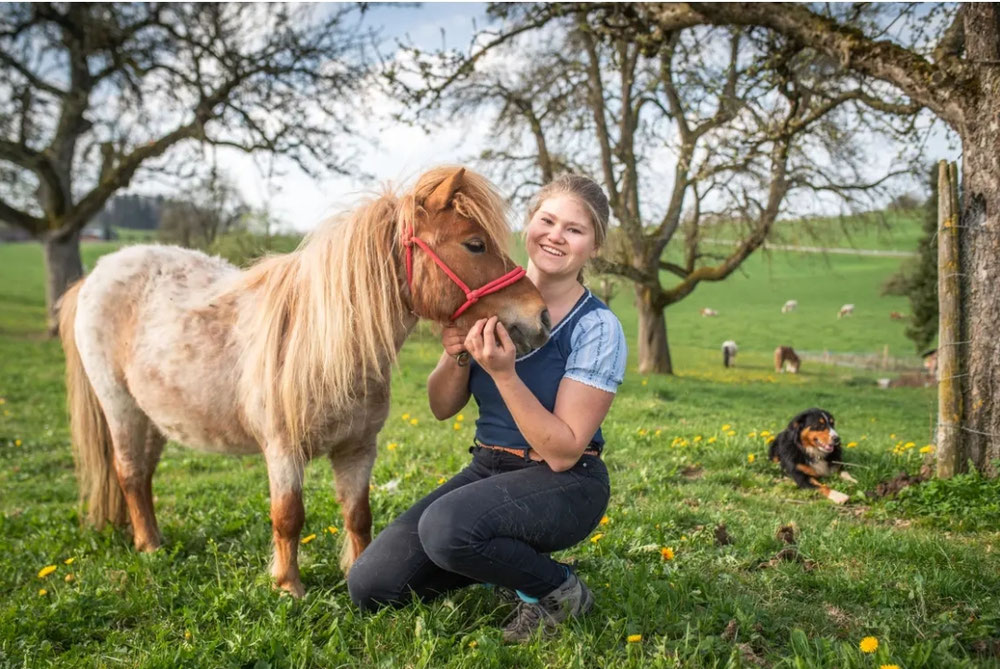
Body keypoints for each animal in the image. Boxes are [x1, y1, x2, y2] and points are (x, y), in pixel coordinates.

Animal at [58, 166, 552, 596]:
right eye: (475, 244)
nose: (541, 316)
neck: (326, 346)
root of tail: (98, 274)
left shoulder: (358, 450)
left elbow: (357, 514)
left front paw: (355, 569)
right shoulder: (282, 451)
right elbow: (288, 517)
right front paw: (288, 586)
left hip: (154, 418)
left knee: (142, 477)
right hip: (120, 407)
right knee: (129, 472)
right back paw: (150, 548)